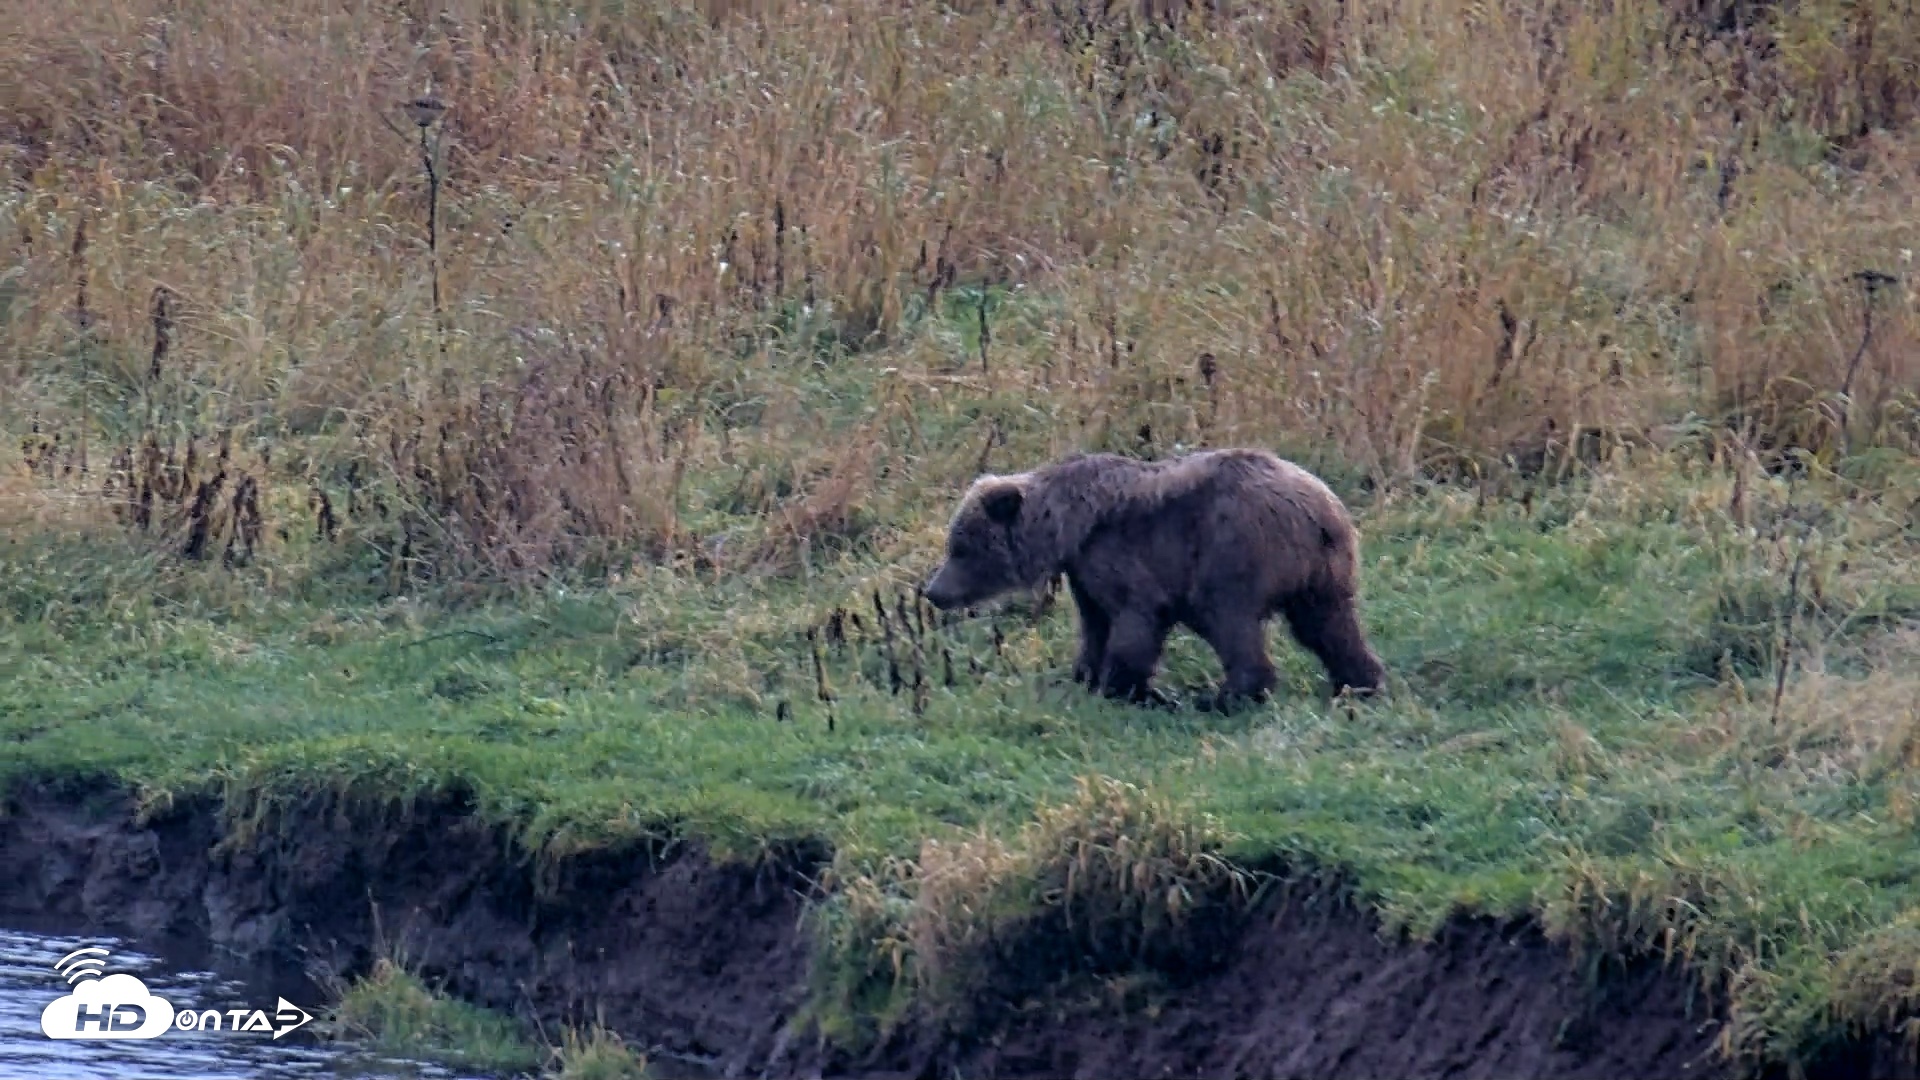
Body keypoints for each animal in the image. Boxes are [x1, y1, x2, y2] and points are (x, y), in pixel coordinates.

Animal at [920, 447, 1386, 710]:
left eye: (962, 547)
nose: (933, 591)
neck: (1065, 529)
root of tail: (1318, 510)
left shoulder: (1120, 555)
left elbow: (1135, 619)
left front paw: (1128, 687)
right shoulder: (1084, 573)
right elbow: (1095, 623)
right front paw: (1085, 673)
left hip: (1233, 550)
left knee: (1229, 619)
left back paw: (1228, 695)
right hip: (1324, 574)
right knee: (1330, 626)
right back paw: (1360, 681)